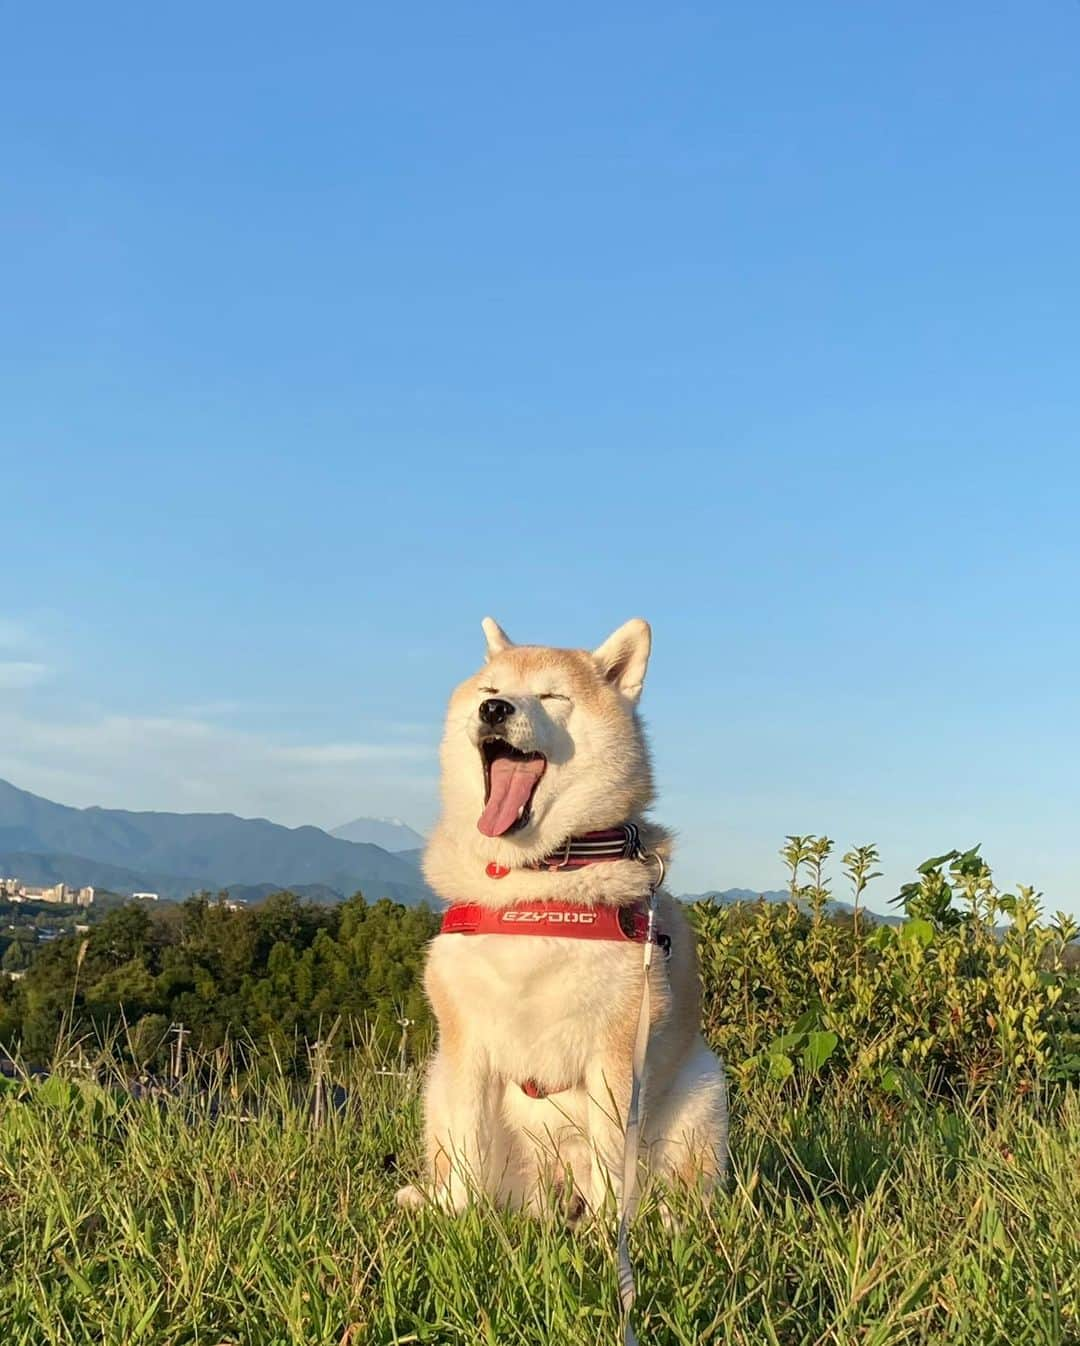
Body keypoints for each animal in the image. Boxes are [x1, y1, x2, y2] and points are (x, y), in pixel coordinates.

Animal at [398, 619, 727, 1222]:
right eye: (489, 689)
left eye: (552, 696)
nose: (495, 709)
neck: (537, 883)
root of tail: (551, 1191)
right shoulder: (465, 1041)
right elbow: (467, 1147)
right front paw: (459, 1221)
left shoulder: (618, 1049)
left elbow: (612, 1160)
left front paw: (608, 1230)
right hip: (438, 1082)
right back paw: (431, 1200)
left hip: (703, 1091)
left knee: (674, 1187)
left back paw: (663, 1221)